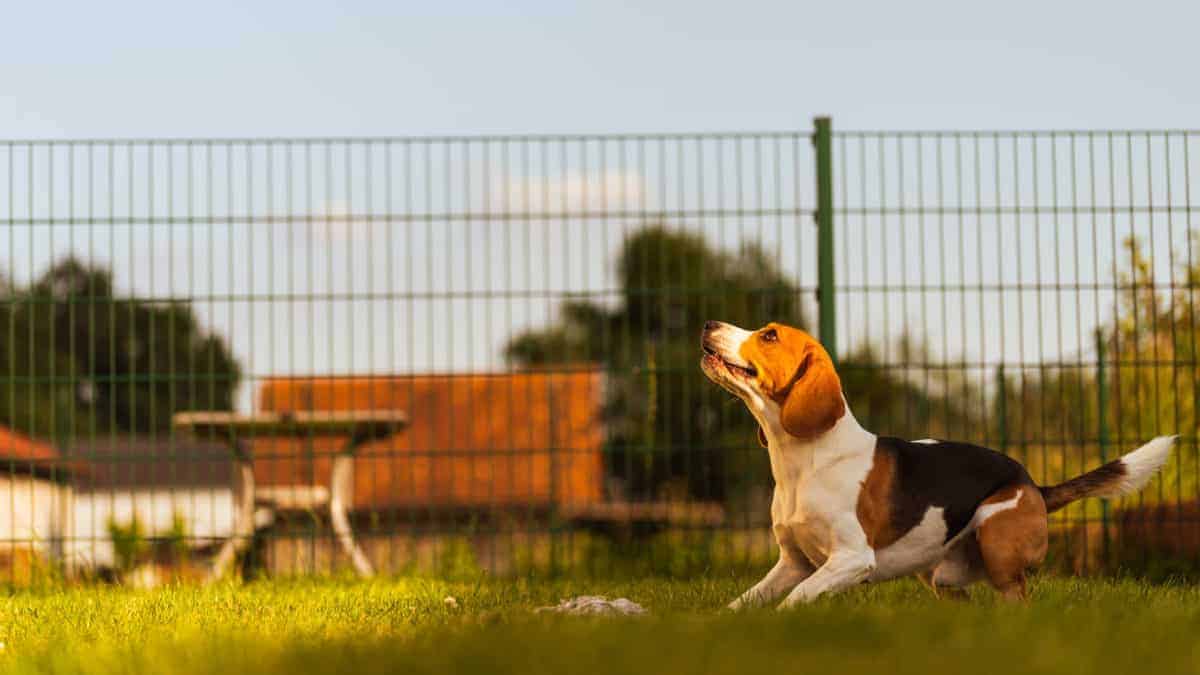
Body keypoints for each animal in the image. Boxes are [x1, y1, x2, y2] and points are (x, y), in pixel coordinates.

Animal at [700, 317, 1176, 607]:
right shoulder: (793, 563)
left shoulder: (851, 560)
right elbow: (745, 602)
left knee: (1017, 599)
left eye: (769, 336)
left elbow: (795, 599)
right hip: (941, 577)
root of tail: (1034, 484)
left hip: (998, 541)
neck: (805, 462)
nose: (708, 323)